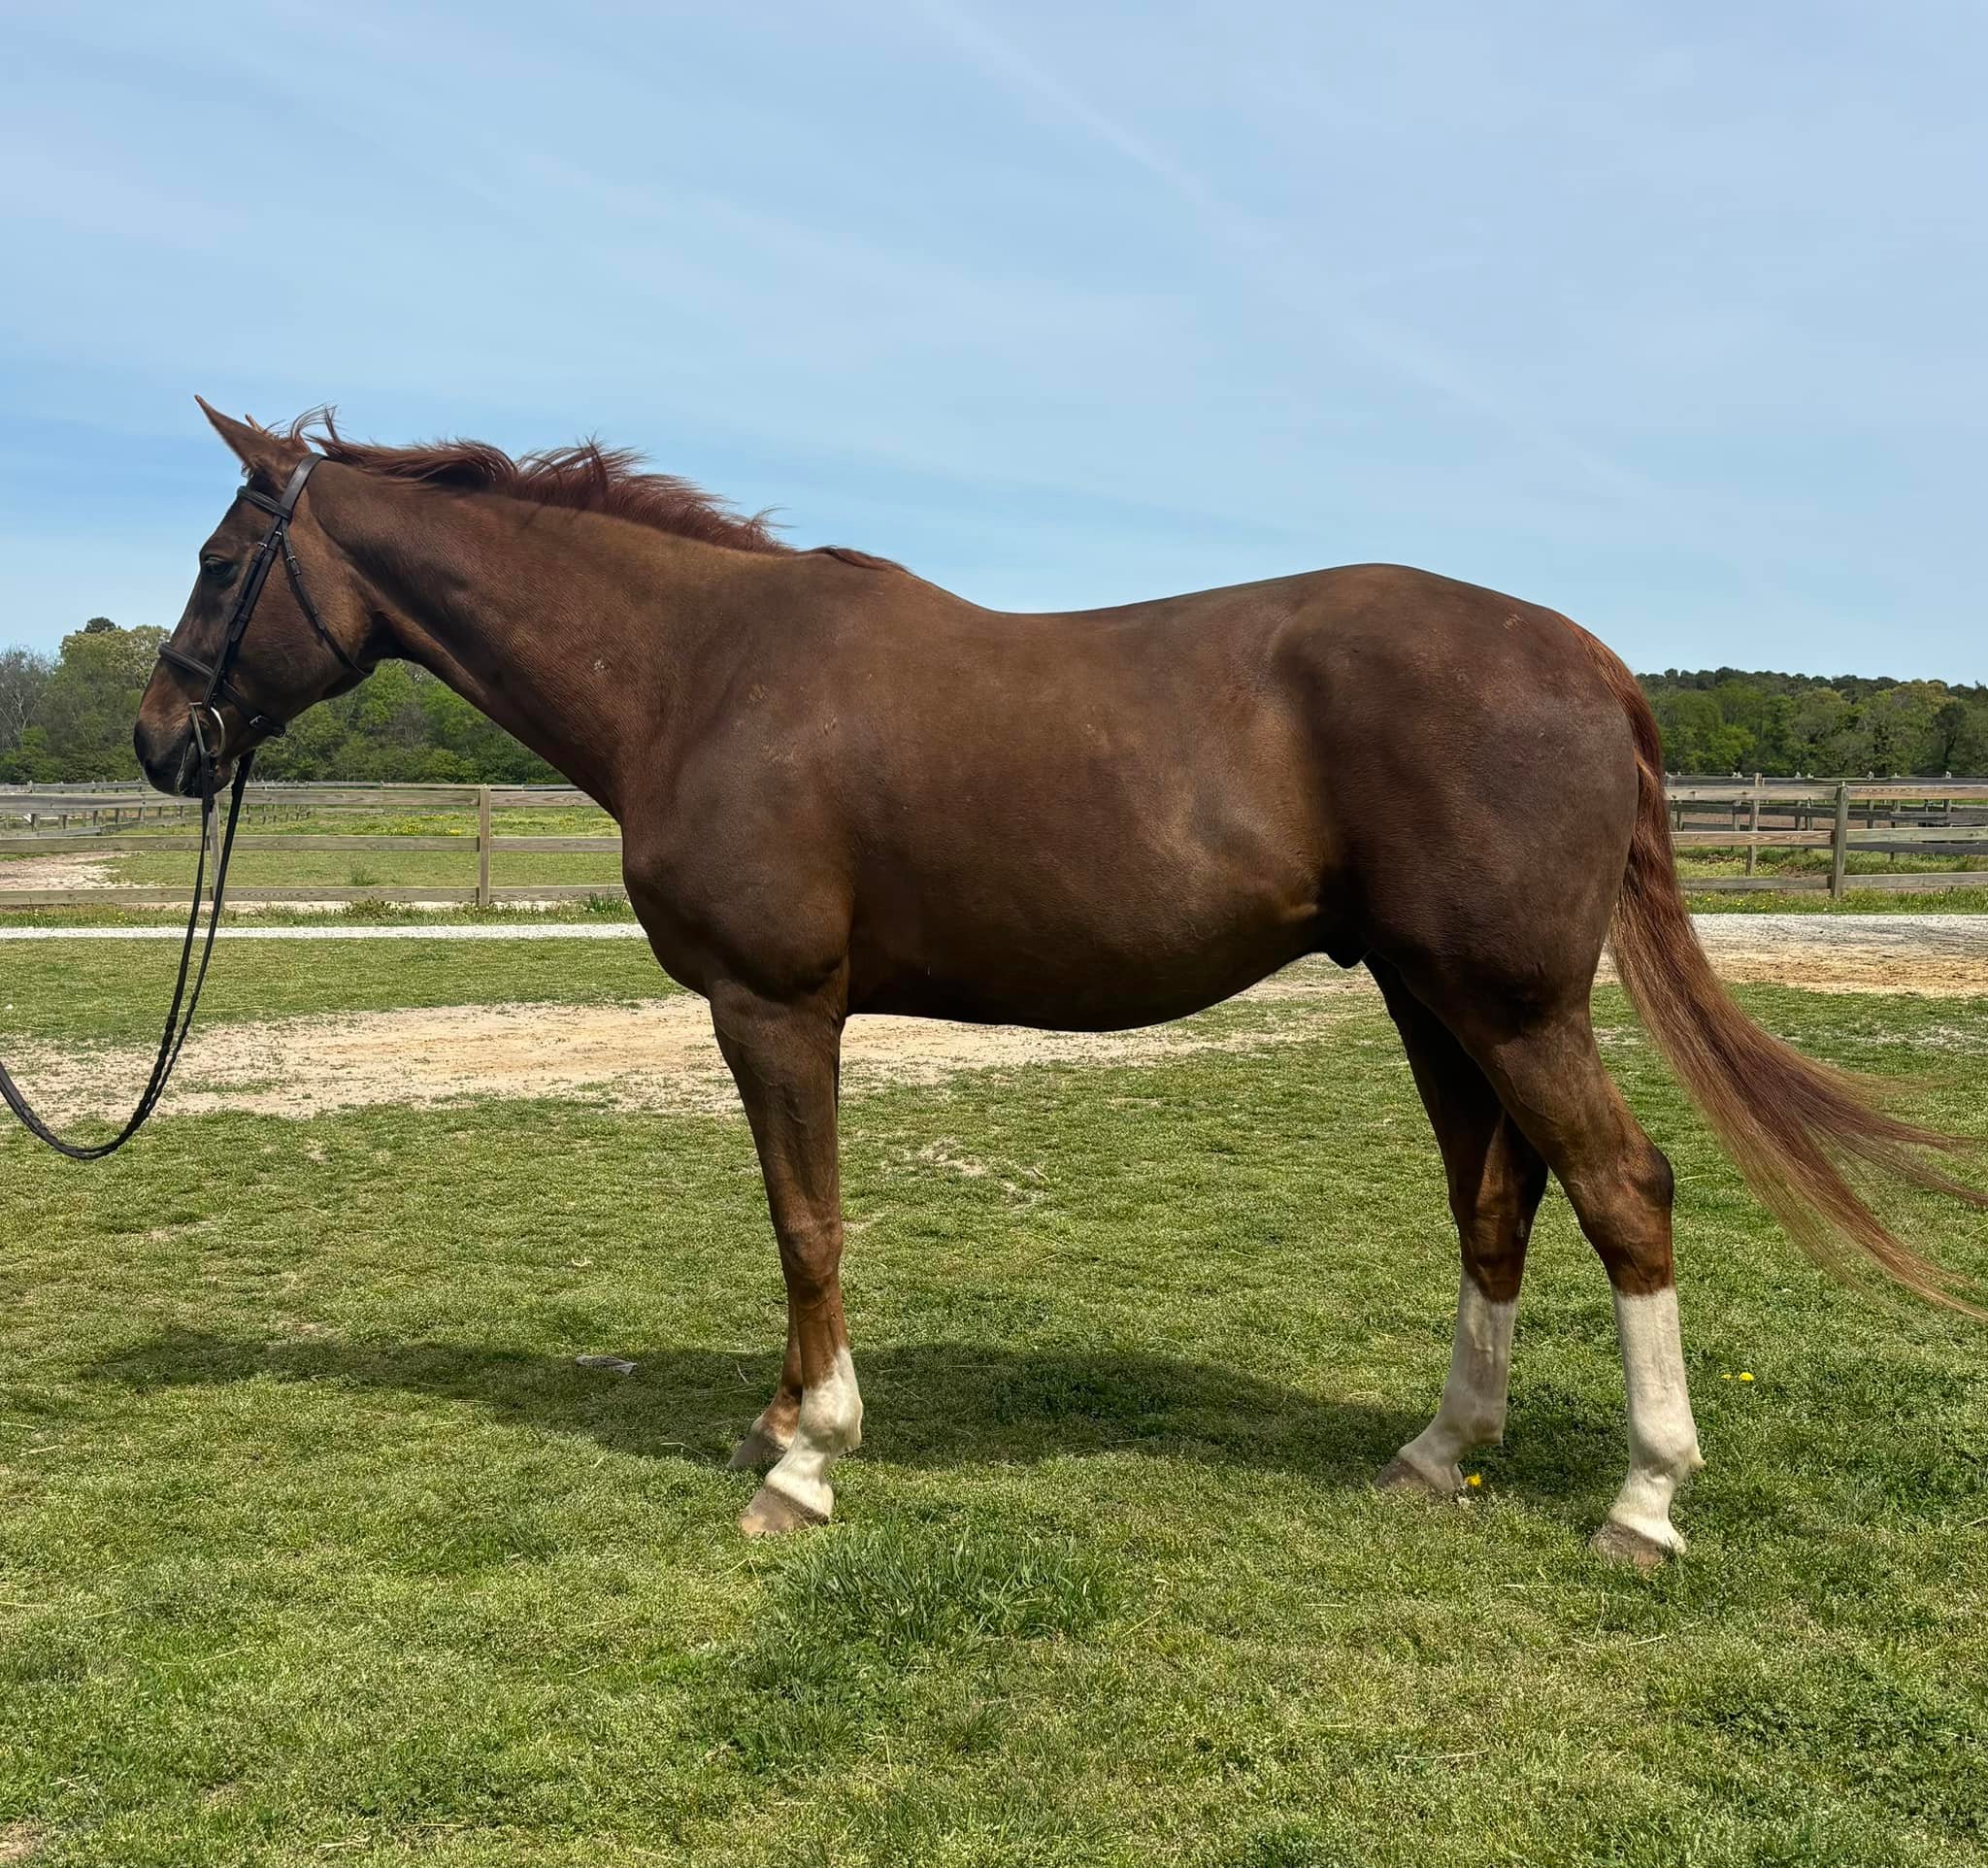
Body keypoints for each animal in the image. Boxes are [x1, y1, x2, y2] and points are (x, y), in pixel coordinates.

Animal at [133, 401, 1984, 1566]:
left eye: (224, 569)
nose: (162, 739)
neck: (700, 674)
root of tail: (1592, 663)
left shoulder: (773, 1005)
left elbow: (804, 1219)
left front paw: (806, 1459)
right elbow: (790, 1224)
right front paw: (775, 1417)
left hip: (1510, 1001)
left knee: (1622, 1189)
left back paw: (1642, 1505)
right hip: (1431, 997)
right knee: (1494, 1199)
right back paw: (1437, 1454)